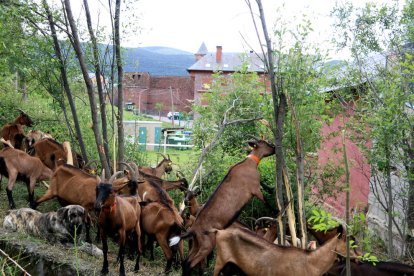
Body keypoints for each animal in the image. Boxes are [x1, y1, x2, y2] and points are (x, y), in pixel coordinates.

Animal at [170, 138, 276, 274]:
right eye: (267, 143)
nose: (275, 148)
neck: (249, 162)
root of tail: (193, 229)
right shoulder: (255, 189)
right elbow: (266, 201)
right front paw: (277, 210)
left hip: (197, 244)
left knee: (186, 262)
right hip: (207, 244)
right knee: (190, 263)